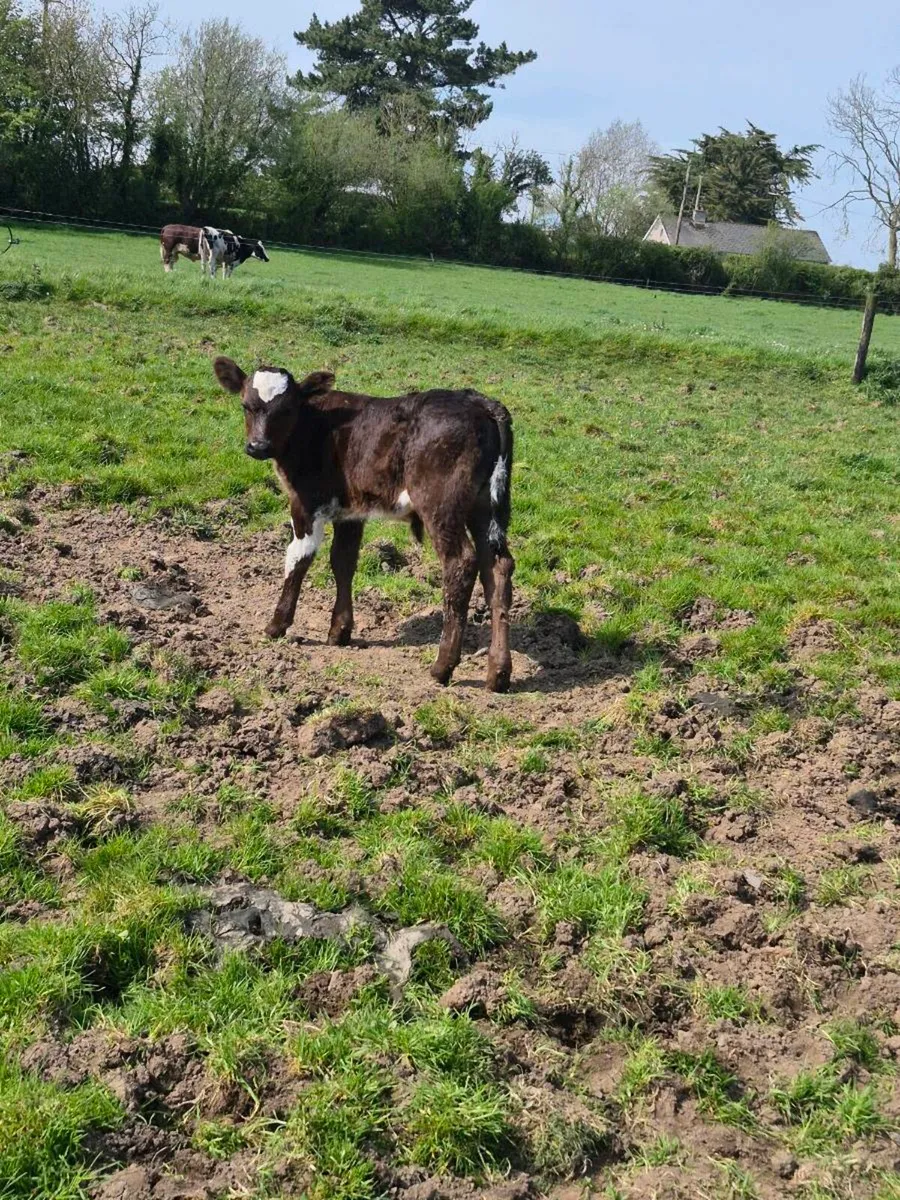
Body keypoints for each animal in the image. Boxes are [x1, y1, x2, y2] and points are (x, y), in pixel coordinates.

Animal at [213, 357, 515, 692]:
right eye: (246, 405)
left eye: (287, 409)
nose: (258, 446)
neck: (314, 424)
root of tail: (479, 401)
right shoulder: (351, 511)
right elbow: (343, 562)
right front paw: (339, 630)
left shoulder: (305, 503)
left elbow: (298, 560)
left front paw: (277, 625)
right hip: (485, 507)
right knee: (497, 568)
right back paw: (498, 673)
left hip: (441, 505)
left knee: (460, 564)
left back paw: (442, 666)